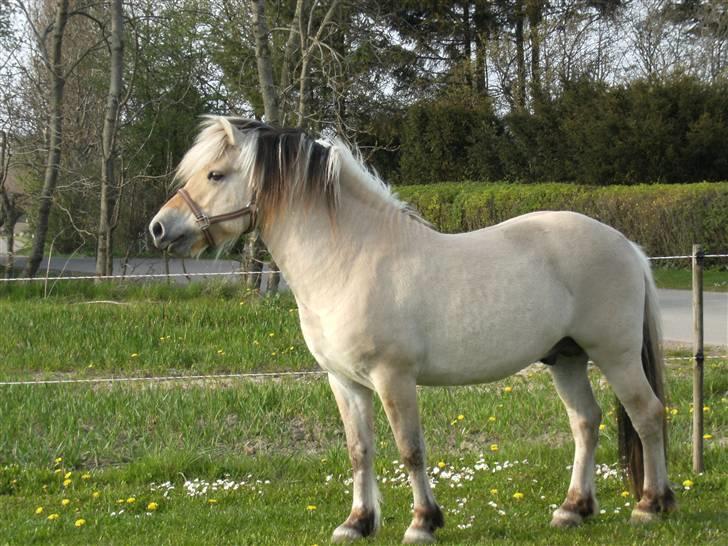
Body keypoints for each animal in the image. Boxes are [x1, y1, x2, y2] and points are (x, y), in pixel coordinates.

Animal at [148, 117, 676, 540]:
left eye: (215, 174)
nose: (158, 228)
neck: (349, 260)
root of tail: (627, 244)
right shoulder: (344, 382)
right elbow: (359, 450)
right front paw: (357, 523)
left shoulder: (393, 378)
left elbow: (410, 450)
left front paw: (423, 522)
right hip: (566, 358)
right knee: (586, 422)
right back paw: (573, 510)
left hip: (615, 355)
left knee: (647, 414)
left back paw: (651, 505)